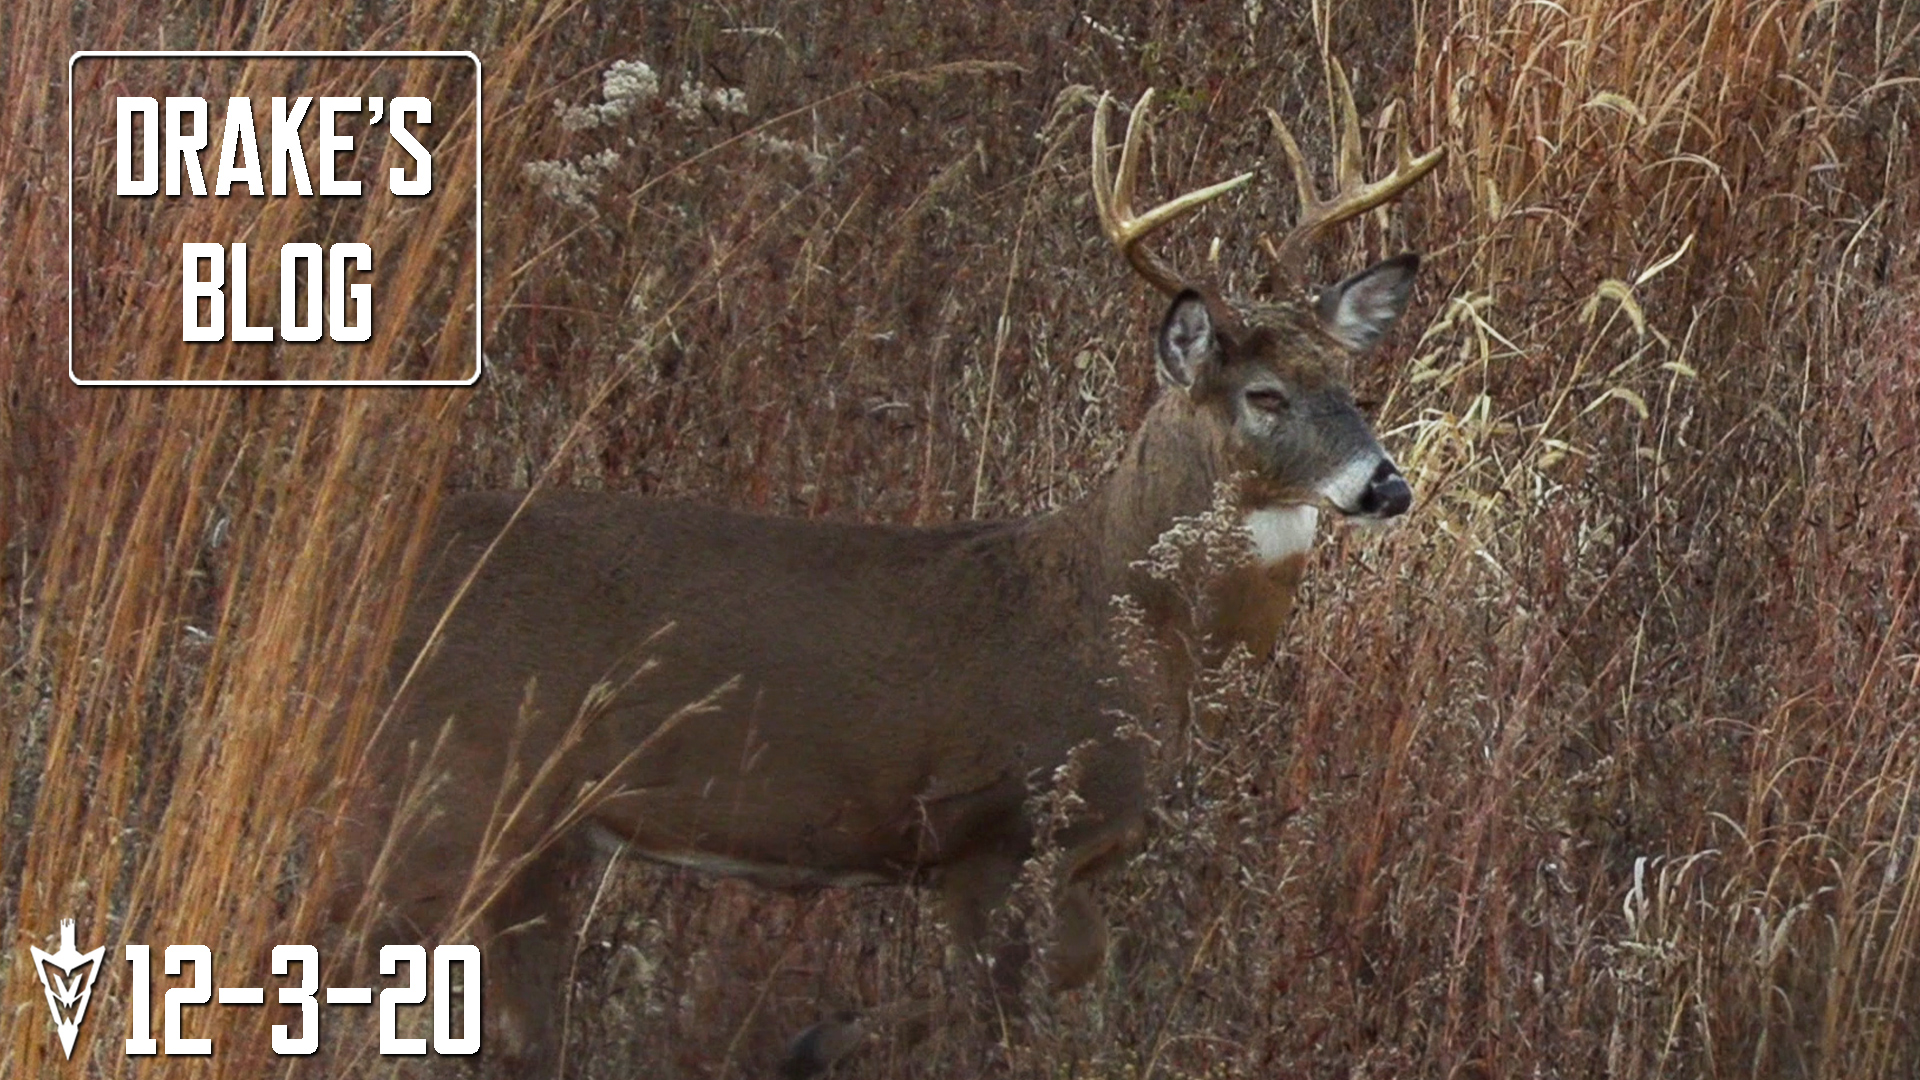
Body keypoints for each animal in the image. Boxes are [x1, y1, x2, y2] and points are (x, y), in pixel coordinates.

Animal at [339, 72, 1442, 1078]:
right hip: (462, 789)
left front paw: (821, 1040)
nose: (1385, 484)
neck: (1128, 610)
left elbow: (1056, 973)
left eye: (1349, 385)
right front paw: (819, 1042)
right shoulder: (994, 829)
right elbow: (1006, 1005)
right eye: (1264, 394)